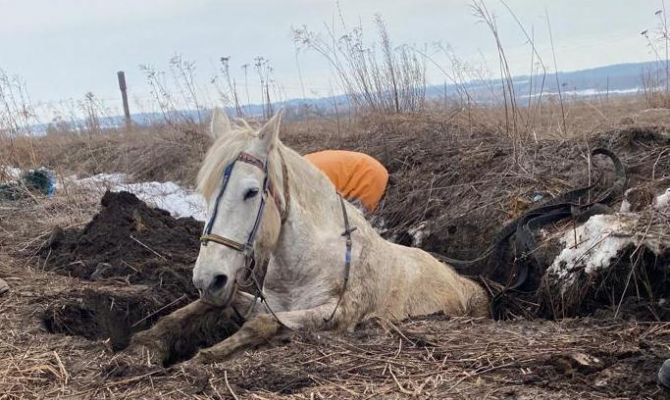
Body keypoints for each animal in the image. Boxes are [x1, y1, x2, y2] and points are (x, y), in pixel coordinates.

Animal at [128, 110, 489, 364]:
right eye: (206, 192)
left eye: (251, 191)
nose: (208, 278)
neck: (305, 263)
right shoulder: (267, 304)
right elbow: (204, 306)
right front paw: (148, 340)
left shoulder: (336, 314)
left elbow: (259, 325)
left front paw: (208, 355)